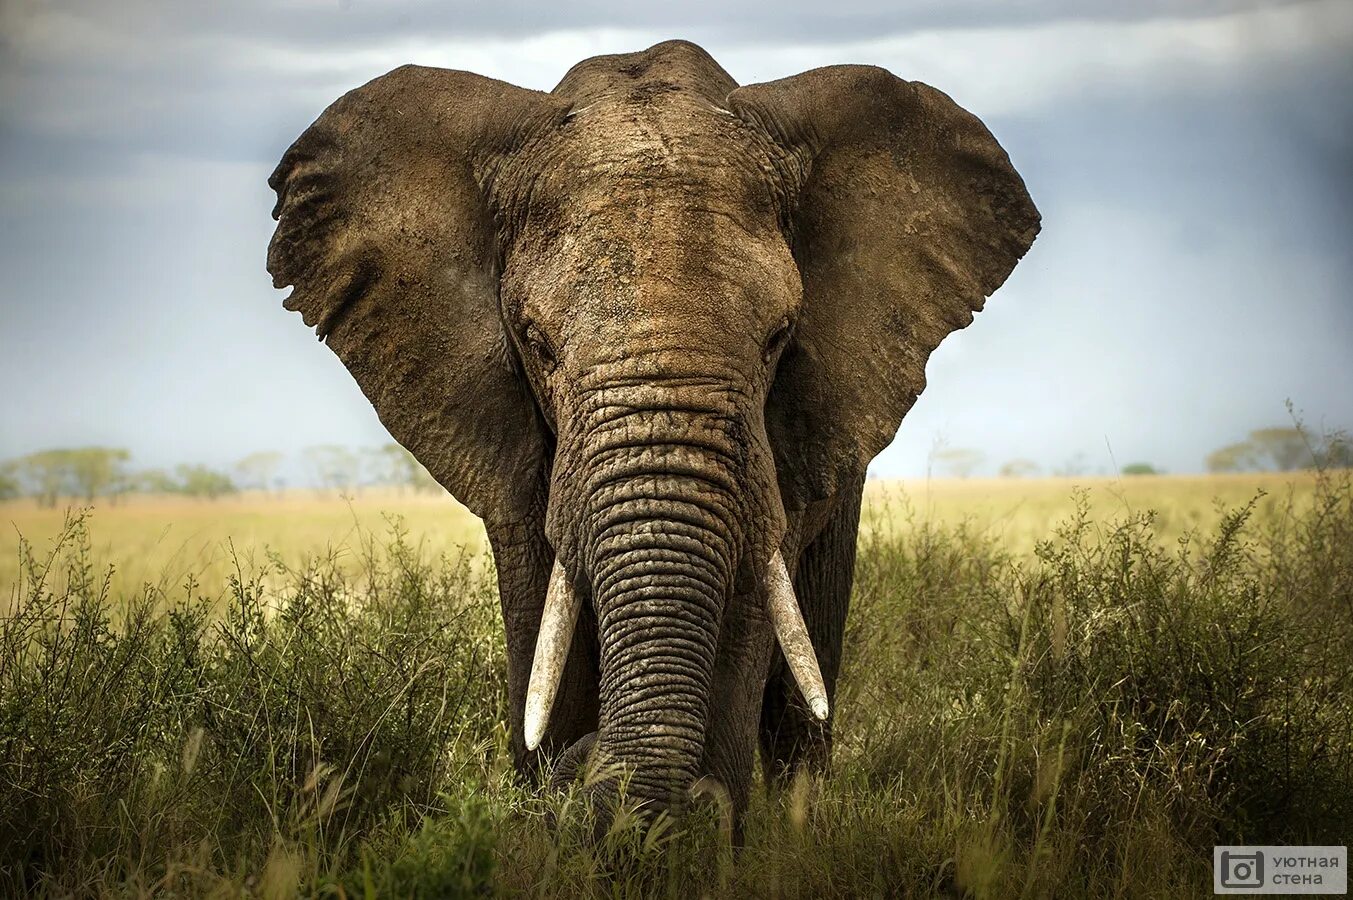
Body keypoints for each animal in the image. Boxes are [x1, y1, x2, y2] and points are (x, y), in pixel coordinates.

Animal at [267, 39, 1038, 830]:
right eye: (536, 343)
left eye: (779, 338)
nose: (584, 767)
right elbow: (542, 623)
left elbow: (745, 615)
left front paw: (697, 830)